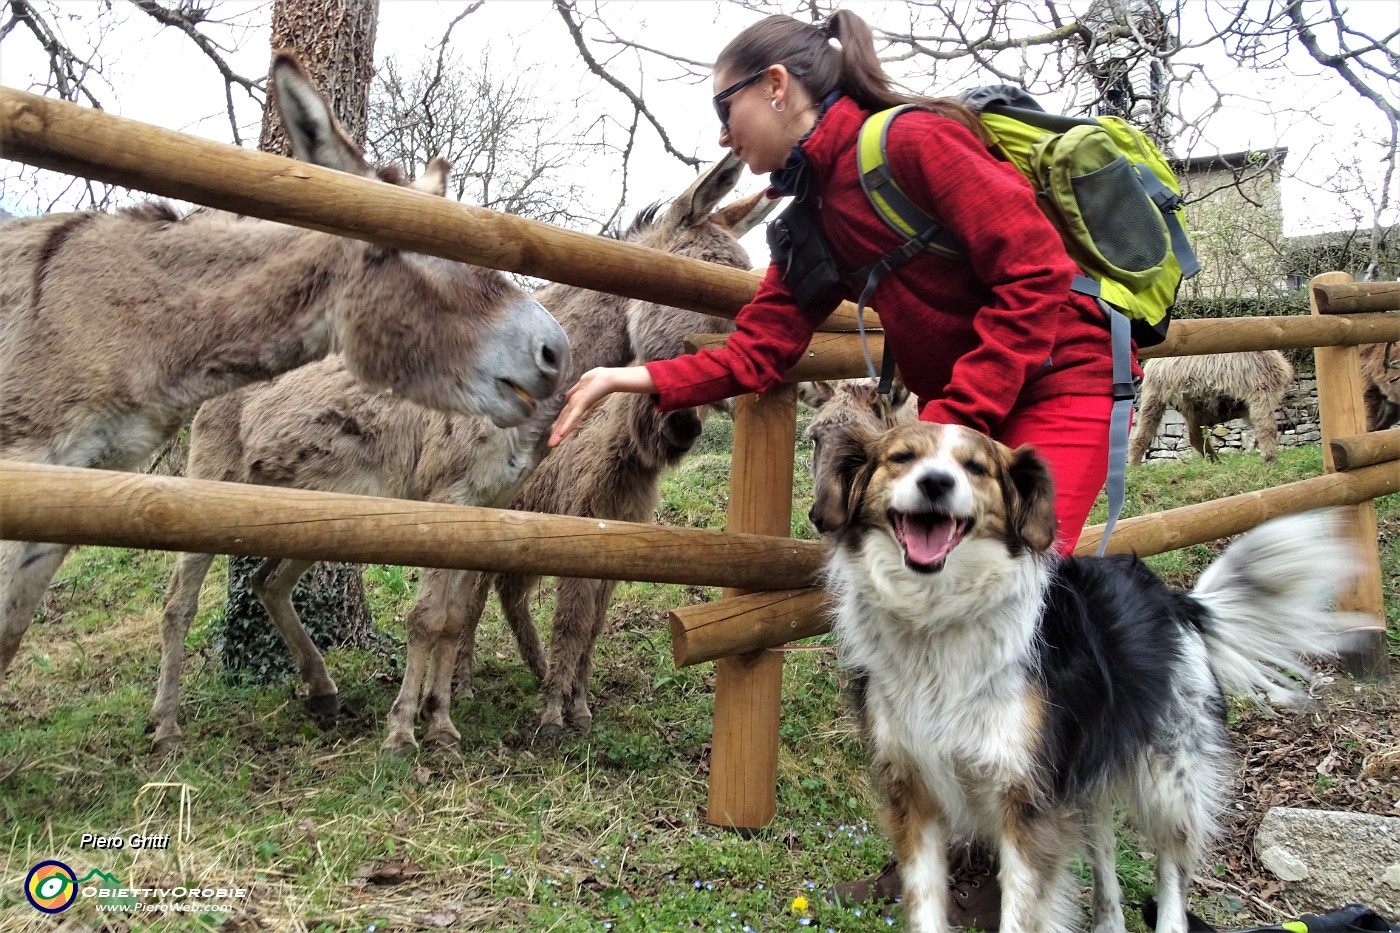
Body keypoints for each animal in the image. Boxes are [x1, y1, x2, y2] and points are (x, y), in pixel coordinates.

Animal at [817, 420, 1366, 930]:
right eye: (902, 458)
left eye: (975, 468)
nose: (936, 483)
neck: (937, 617)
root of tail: (1177, 600)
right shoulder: (915, 793)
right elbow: (927, 905)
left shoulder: (1026, 801)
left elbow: (1021, 911)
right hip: (1086, 781)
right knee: (1103, 854)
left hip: (1169, 777)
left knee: (1172, 865)